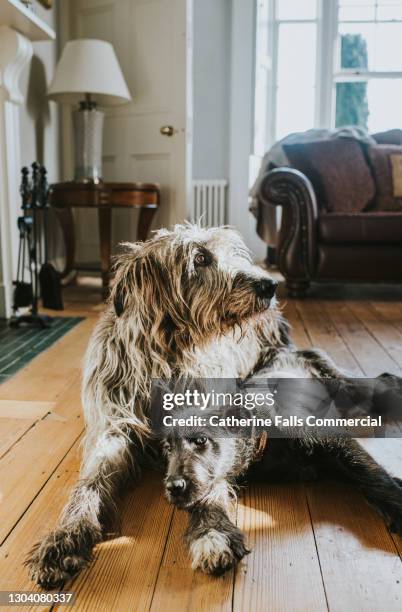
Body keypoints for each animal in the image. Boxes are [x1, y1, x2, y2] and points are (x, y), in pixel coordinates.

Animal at [25, 224, 402, 584]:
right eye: (201, 258)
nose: (270, 286)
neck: (170, 350)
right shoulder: (115, 427)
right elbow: (89, 483)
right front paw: (65, 537)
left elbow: (213, 476)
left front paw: (211, 532)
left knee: (344, 376)